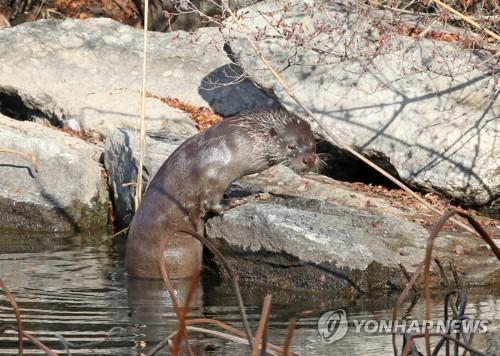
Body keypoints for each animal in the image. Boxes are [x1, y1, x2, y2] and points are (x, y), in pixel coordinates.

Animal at [127, 107, 318, 280]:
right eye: (292, 146)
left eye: (313, 145)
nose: (309, 160)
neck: (237, 144)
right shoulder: (213, 176)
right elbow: (211, 203)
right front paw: (242, 198)